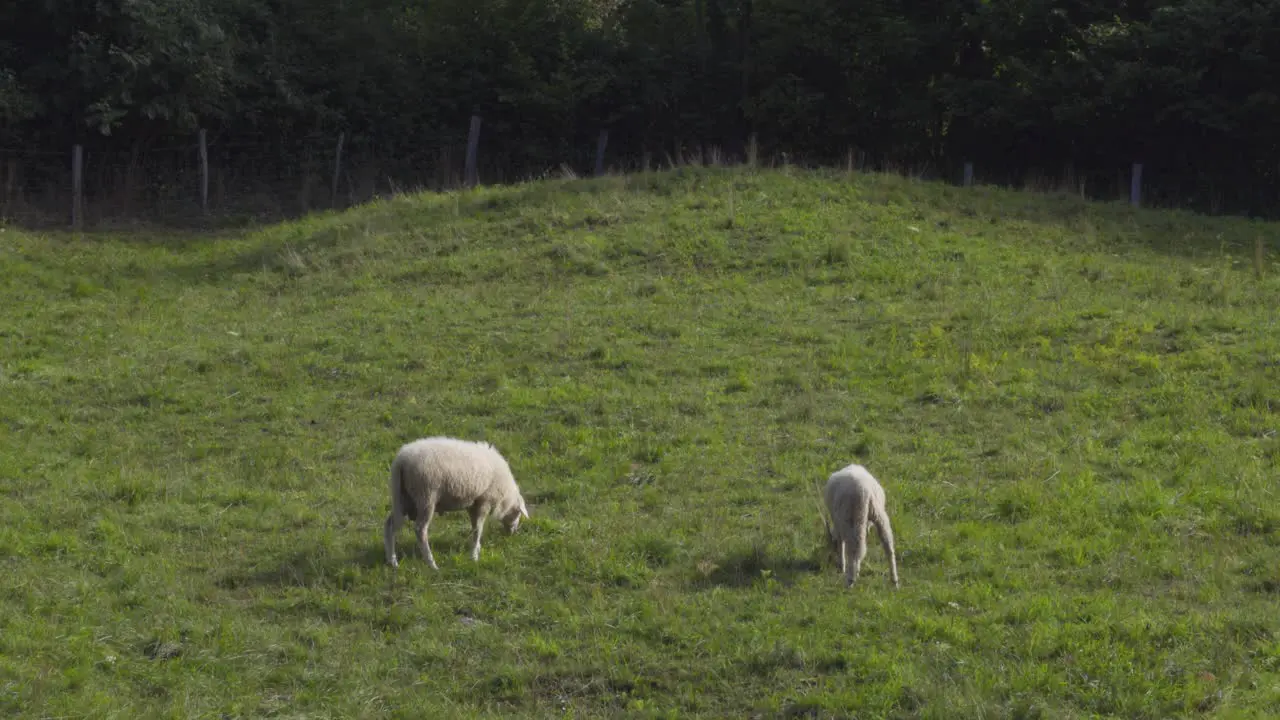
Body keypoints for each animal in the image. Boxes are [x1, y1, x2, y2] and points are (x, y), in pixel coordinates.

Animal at [386, 435, 532, 568]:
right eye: (518, 513)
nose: (513, 533)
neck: (505, 497)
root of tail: (402, 461)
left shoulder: (473, 504)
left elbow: (474, 527)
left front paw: (476, 548)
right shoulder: (484, 502)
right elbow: (478, 529)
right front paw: (474, 556)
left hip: (402, 497)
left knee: (390, 524)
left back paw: (392, 561)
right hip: (425, 497)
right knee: (420, 529)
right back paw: (431, 563)